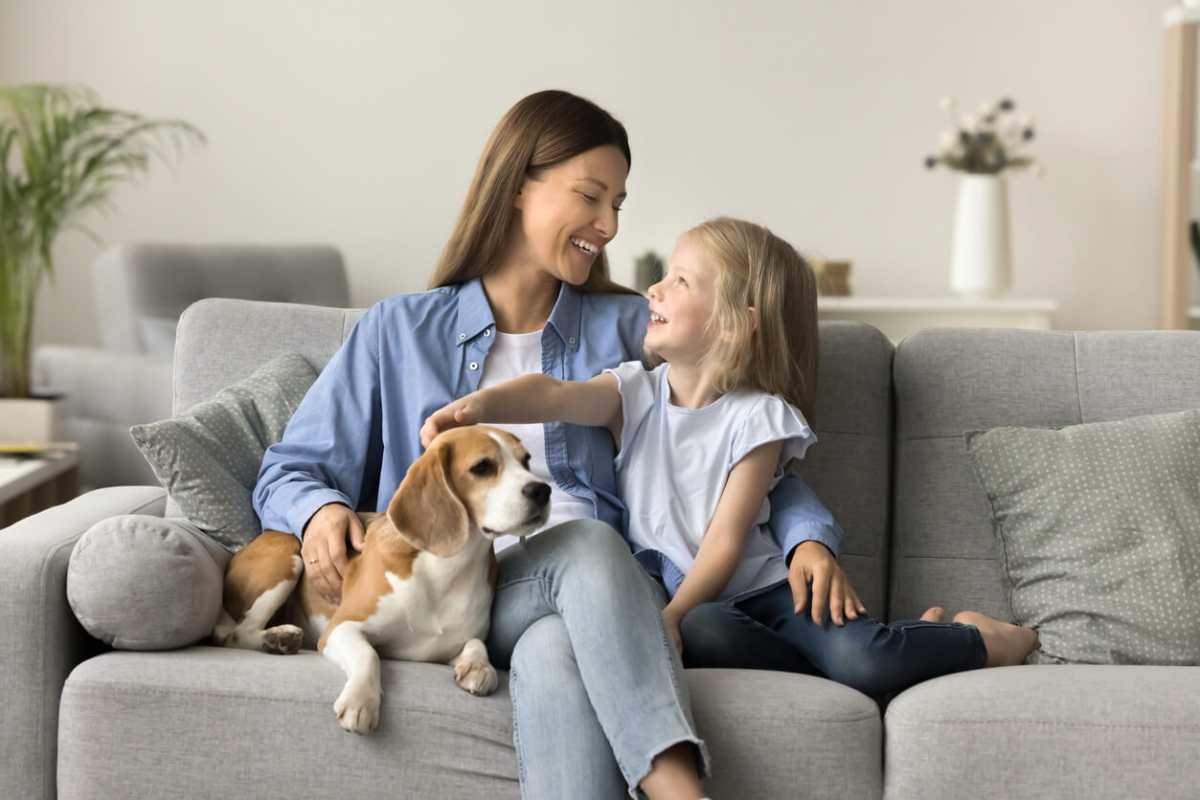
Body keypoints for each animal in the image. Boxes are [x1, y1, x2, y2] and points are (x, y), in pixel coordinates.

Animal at [213, 429, 549, 734]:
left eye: (526, 461)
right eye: (482, 467)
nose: (542, 490)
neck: (448, 567)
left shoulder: (447, 647)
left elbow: (476, 643)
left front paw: (479, 667)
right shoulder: (340, 629)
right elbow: (369, 654)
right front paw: (361, 700)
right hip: (289, 558)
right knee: (235, 635)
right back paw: (277, 638)